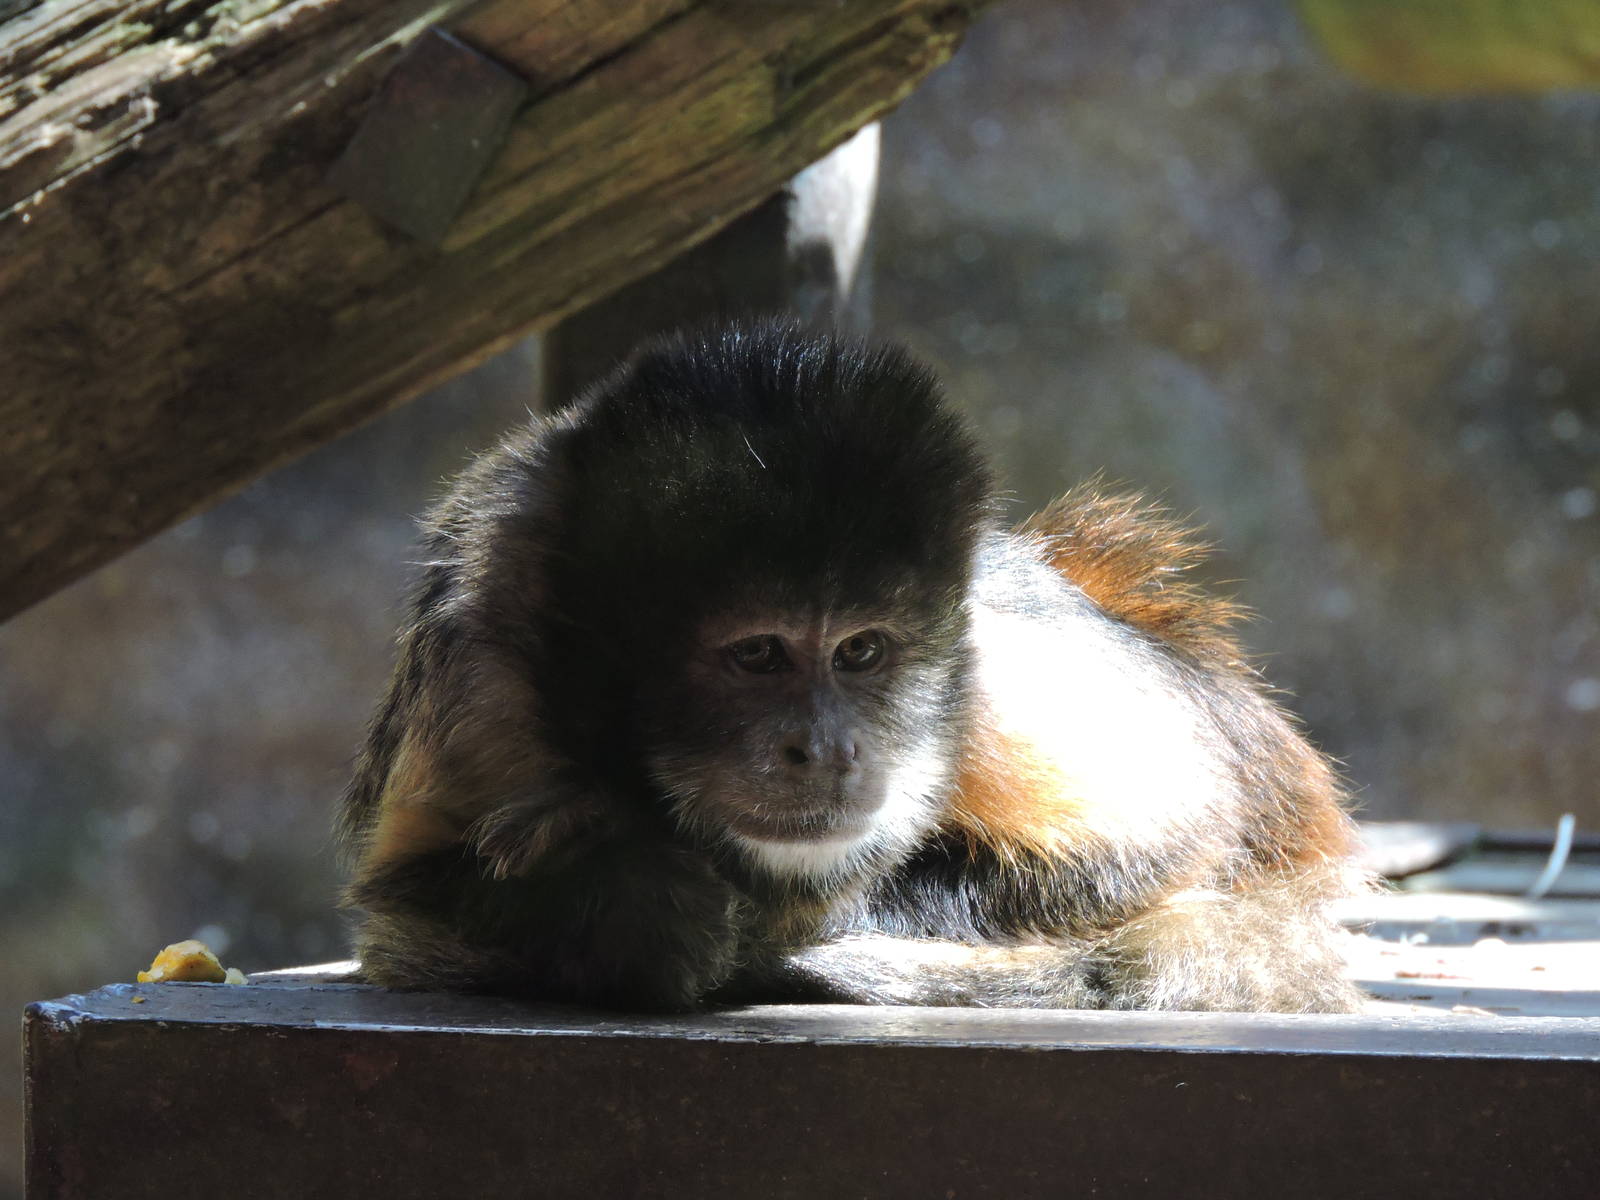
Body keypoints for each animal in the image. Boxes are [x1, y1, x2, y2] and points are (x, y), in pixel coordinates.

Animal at [337, 322, 1367, 1014]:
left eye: (860, 651)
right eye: (759, 655)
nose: (827, 748)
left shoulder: (986, 675)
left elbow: (1171, 831)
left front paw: (784, 926)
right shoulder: (487, 640)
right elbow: (403, 909)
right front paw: (640, 901)